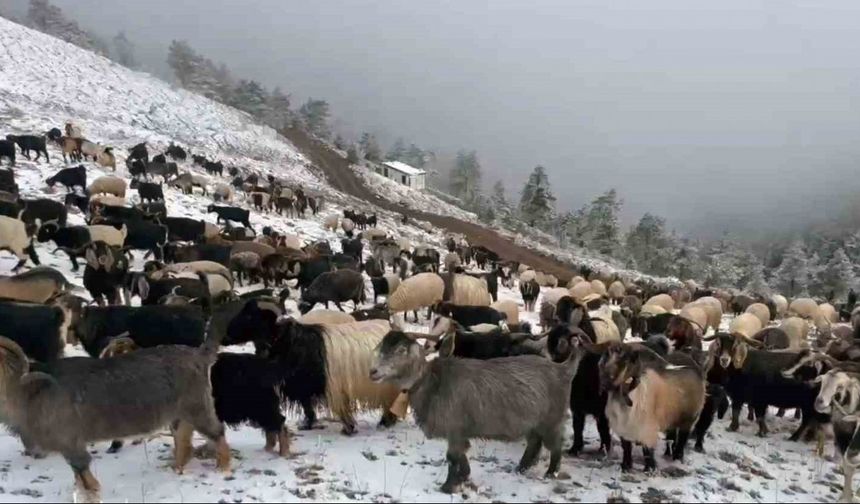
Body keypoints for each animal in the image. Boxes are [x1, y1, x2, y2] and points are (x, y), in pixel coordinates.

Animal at [0, 332, 230, 502]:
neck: (27, 392)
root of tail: (199, 355)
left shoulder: (71, 442)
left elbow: (85, 476)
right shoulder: (67, 447)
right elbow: (78, 476)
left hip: (197, 406)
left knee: (217, 432)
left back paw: (223, 469)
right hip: (180, 414)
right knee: (183, 440)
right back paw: (176, 469)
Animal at [370, 330, 584, 492]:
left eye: (401, 350)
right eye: (381, 346)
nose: (373, 371)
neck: (433, 382)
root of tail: (563, 369)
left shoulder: (455, 428)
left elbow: (452, 458)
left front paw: (448, 486)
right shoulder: (458, 432)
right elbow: (459, 456)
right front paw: (464, 477)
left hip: (552, 419)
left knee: (555, 446)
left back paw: (550, 473)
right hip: (533, 421)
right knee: (534, 442)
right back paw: (521, 468)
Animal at [596, 342, 704, 472]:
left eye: (626, 360)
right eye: (607, 355)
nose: (606, 381)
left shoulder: (647, 430)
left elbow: (648, 451)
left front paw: (650, 469)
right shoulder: (624, 429)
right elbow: (626, 448)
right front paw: (626, 466)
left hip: (689, 419)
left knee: (682, 440)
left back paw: (677, 458)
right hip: (671, 418)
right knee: (672, 436)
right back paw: (668, 454)